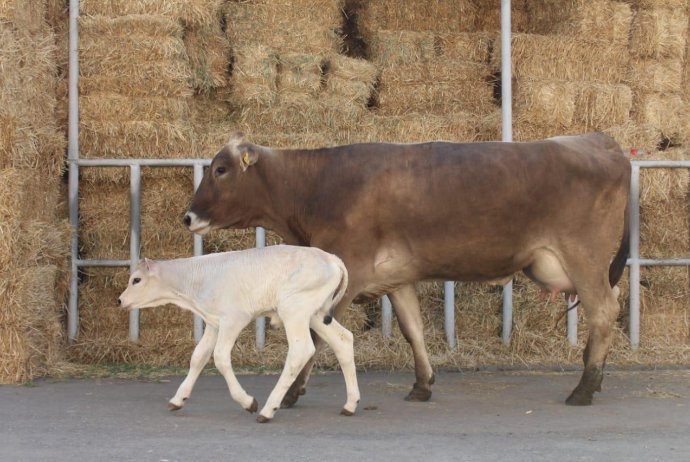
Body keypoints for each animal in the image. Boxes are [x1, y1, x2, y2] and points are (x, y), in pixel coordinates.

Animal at [117, 245, 360, 422]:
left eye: (136, 279)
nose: (120, 300)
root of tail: (330, 257)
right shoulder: (214, 322)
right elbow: (198, 357)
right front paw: (178, 399)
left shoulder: (234, 318)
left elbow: (220, 358)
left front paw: (247, 402)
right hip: (315, 314)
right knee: (343, 340)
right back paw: (350, 404)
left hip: (294, 309)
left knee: (301, 351)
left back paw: (267, 410)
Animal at [183, 131, 628, 408]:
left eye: (220, 169)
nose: (187, 217)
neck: (317, 186)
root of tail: (598, 140)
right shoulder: (397, 279)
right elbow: (413, 329)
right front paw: (422, 385)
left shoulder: (346, 276)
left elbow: (315, 336)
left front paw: (291, 393)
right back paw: (597, 377)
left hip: (583, 256)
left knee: (604, 311)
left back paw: (585, 387)